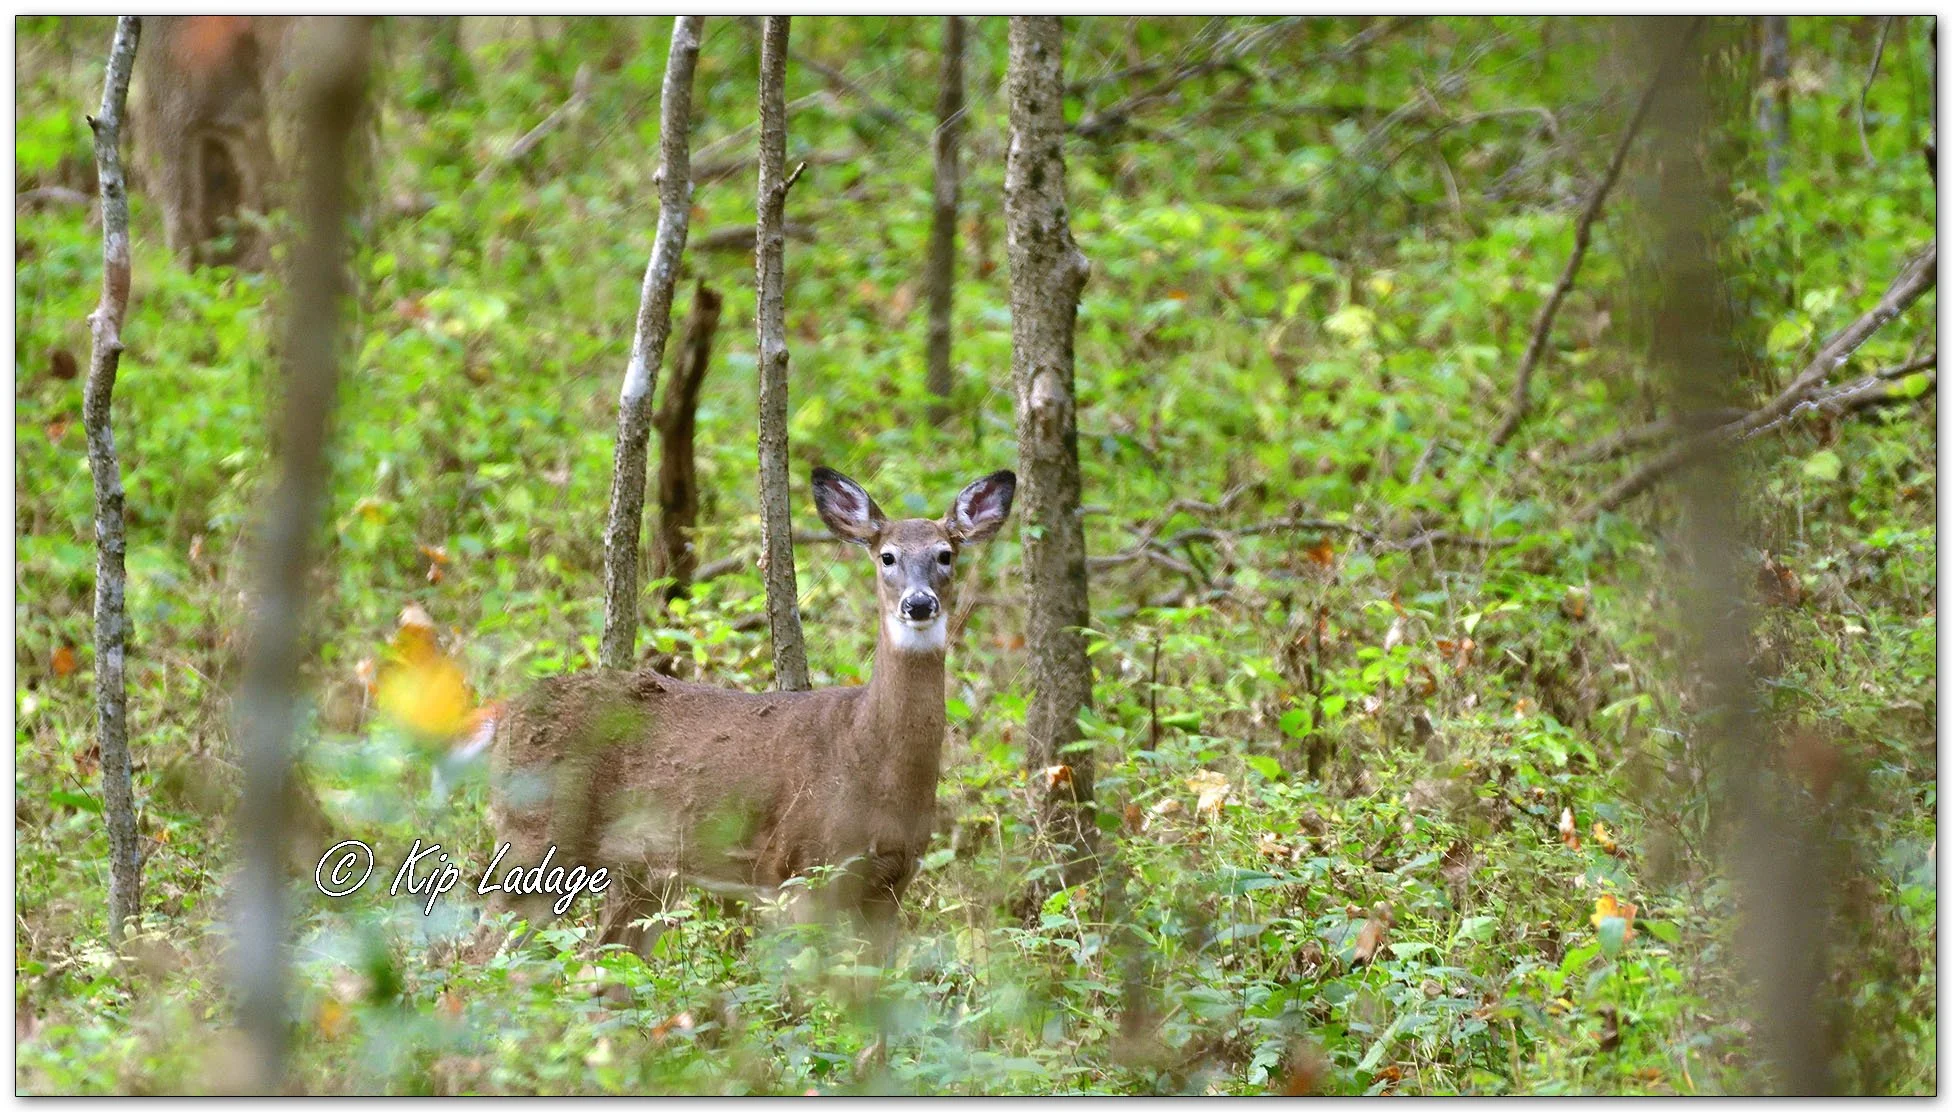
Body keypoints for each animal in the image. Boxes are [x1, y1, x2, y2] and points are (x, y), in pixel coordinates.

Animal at [474, 466, 1015, 958]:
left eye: (945, 554)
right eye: (888, 556)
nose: (918, 603)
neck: (868, 752)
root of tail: (505, 717)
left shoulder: (892, 884)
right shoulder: (801, 870)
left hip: (642, 874)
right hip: (536, 834)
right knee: (482, 950)